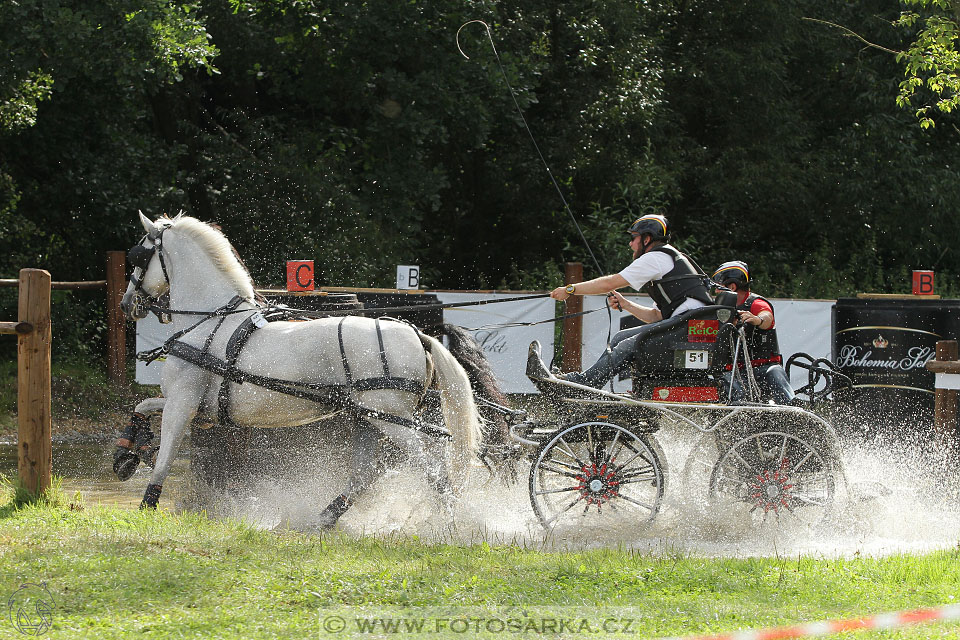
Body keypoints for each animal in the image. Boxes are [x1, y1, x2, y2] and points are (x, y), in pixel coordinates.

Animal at [120, 211, 480, 524]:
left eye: (138, 256)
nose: (127, 304)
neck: (210, 320)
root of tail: (417, 334)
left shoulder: (183, 401)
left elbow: (165, 457)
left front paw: (146, 503)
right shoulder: (198, 406)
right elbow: (143, 406)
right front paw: (127, 454)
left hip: (392, 419)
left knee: (433, 467)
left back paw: (453, 525)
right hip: (369, 418)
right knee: (366, 473)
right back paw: (321, 520)